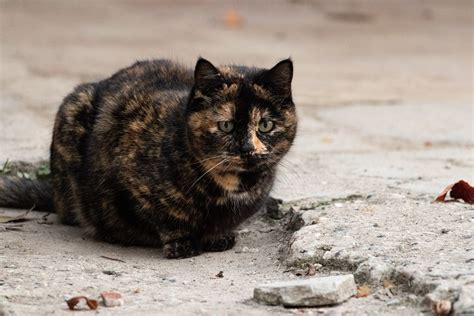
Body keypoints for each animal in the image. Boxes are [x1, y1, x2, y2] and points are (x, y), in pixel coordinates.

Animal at [0, 58, 296, 258]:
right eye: (226, 126)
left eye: (266, 125)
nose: (248, 149)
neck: (234, 185)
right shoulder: (128, 178)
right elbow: (164, 217)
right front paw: (181, 242)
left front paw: (218, 236)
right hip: (73, 107)